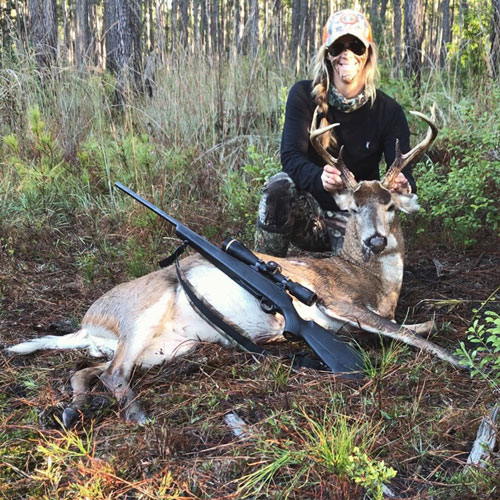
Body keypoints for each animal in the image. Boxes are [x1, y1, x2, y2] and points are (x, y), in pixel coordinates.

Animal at [3, 106, 460, 426]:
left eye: (390, 205)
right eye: (351, 208)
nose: (375, 240)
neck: (374, 284)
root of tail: (90, 321)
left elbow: (417, 326)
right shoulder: (338, 302)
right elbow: (410, 334)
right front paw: (462, 361)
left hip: (167, 347)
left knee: (87, 370)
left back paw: (73, 410)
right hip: (143, 313)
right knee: (113, 373)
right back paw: (137, 416)